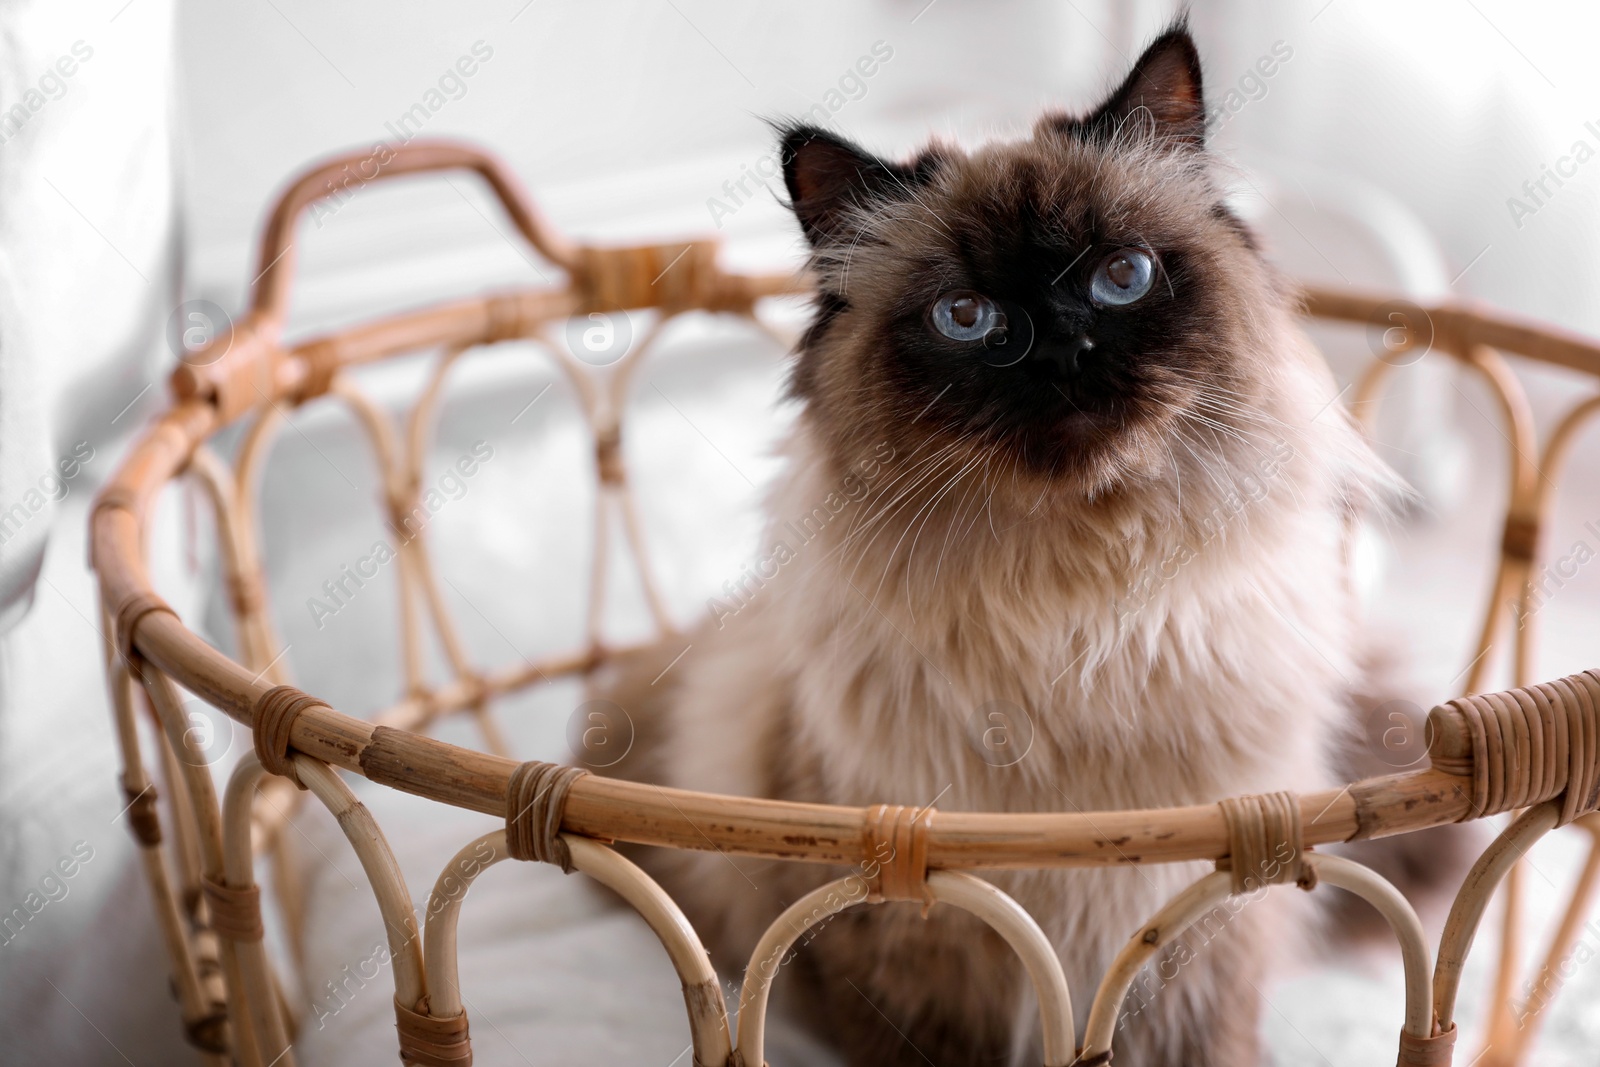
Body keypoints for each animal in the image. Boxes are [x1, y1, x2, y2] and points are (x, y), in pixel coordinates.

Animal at [601, 24, 1427, 1067]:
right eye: (968, 317)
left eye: (1122, 277)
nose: (1065, 348)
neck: (1077, 615)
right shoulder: (920, 949)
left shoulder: (1207, 920)